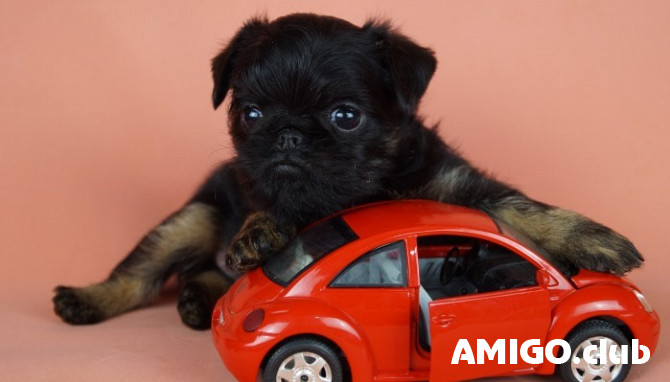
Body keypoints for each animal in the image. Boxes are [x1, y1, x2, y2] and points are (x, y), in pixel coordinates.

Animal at [53, 14, 644, 328]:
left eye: (345, 116)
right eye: (250, 115)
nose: (288, 134)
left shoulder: (457, 186)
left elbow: (523, 208)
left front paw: (593, 238)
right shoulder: (250, 186)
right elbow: (270, 208)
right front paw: (263, 230)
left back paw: (197, 300)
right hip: (194, 218)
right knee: (138, 275)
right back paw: (88, 299)